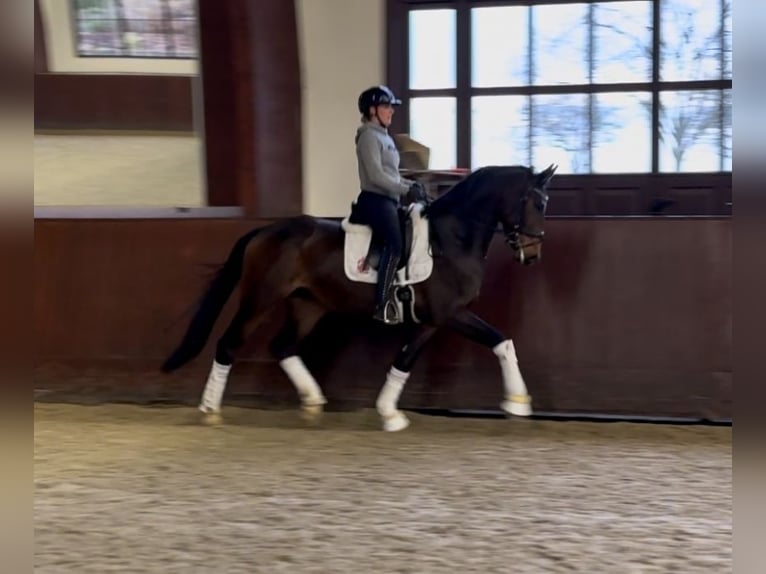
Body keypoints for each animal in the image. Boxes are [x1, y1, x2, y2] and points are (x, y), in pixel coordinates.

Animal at [162, 163, 560, 432]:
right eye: (538, 203)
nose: (533, 254)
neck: (450, 239)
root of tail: (265, 231)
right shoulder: (450, 313)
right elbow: (501, 341)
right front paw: (518, 403)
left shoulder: (433, 319)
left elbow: (405, 360)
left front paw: (389, 413)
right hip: (260, 300)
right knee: (229, 344)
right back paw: (210, 410)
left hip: (308, 304)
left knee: (283, 347)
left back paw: (313, 402)